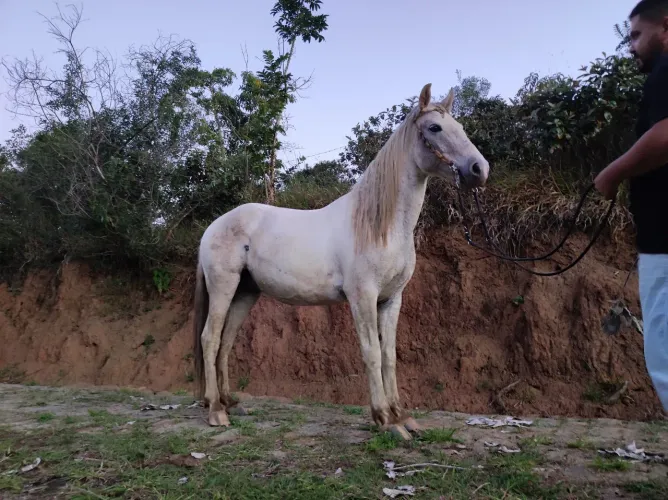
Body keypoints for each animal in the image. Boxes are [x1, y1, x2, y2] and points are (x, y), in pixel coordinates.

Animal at [192, 83, 490, 439]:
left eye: (459, 126)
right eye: (434, 128)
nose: (479, 169)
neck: (379, 226)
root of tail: (212, 227)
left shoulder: (392, 300)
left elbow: (389, 356)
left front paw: (402, 416)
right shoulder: (362, 298)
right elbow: (371, 354)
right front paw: (385, 419)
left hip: (245, 292)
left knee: (225, 341)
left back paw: (230, 402)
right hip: (223, 288)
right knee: (210, 339)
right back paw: (215, 410)